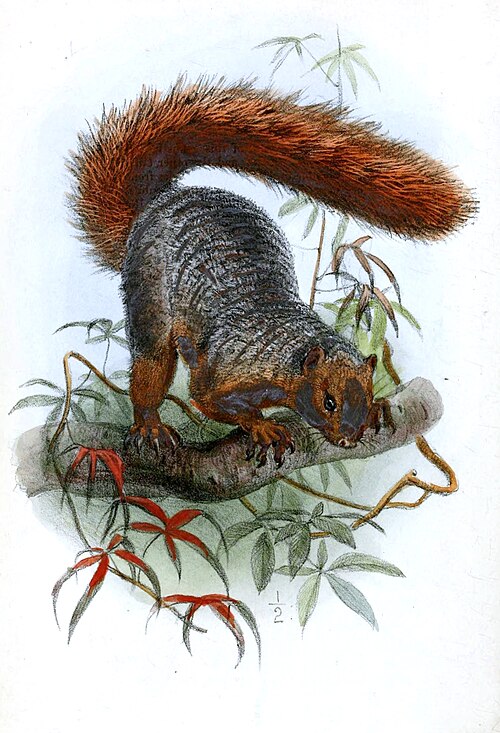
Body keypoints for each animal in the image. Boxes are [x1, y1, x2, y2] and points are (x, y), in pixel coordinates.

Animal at [68, 77, 475, 465]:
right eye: (328, 401)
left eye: (368, 393)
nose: (347, 439)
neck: (285, 364)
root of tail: (155, 207)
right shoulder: (225, 366)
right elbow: (206, 396)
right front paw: (261, 425)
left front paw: (378, 410)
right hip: (150, 303)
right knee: (149, 372)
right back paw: (150, 425)